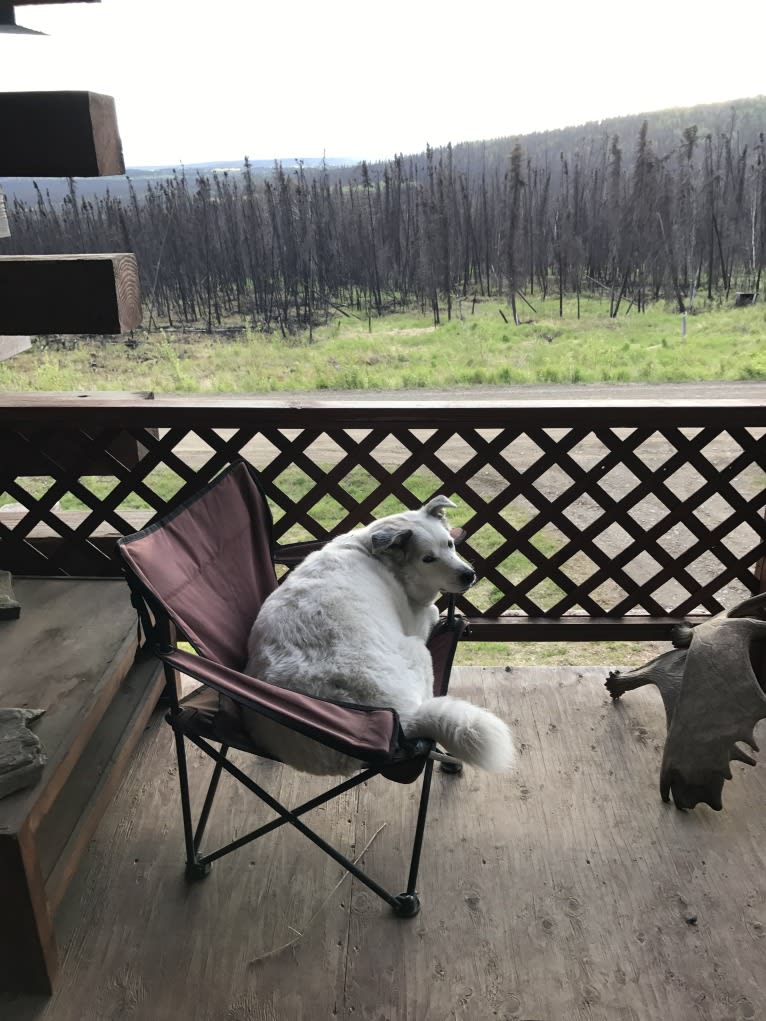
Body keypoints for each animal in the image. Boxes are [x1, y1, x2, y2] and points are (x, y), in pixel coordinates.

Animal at [243, 494, 512, 771]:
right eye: (428, 559)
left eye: (449, 544)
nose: (469, 575)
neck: (372, 551)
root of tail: (401, 721)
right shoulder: (417, 623)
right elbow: (433, 610)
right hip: (418, 651)